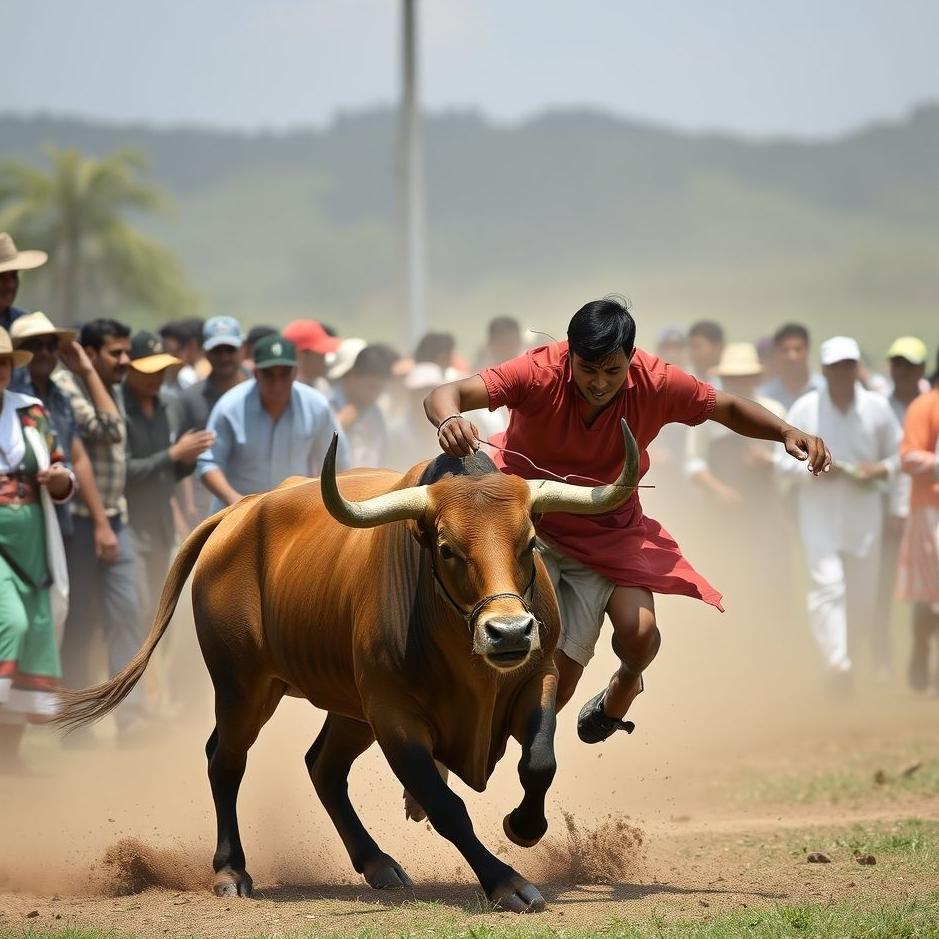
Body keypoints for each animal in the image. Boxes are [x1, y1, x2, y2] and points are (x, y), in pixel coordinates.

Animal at [56, 419, 639, 913]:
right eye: (447, 548)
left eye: (530, 541)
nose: (510, 632)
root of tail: (238, 513)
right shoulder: (393, 716)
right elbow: (446, 806)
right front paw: (507, 882)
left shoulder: (535, 679)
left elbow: (539, 763)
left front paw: (523, 825)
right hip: (244, 686)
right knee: (226, 761)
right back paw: (231, 871)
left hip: (346, 707)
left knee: (322, 766)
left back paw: (377, 863)